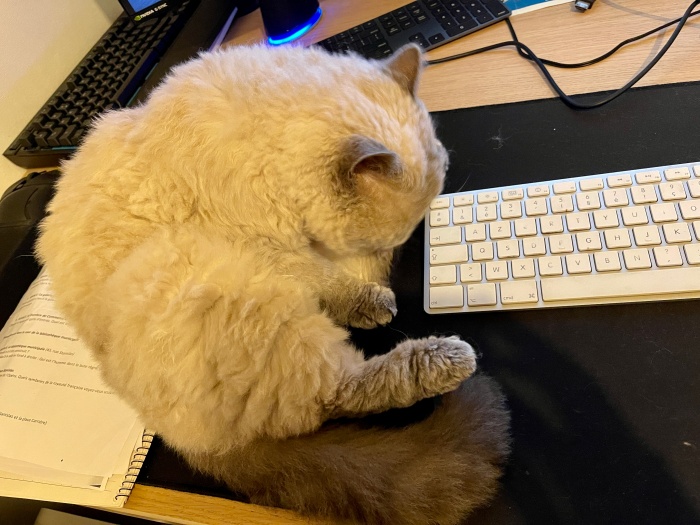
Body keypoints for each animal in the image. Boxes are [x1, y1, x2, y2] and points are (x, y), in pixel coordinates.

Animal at [36, 43, 510, 524]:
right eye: (391, 239)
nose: (388, 261)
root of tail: (188, 441)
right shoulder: (273, 248)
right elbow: (330, 280)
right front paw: (373, 298)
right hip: (221, 281)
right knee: (337, 392)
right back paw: (447, 358)